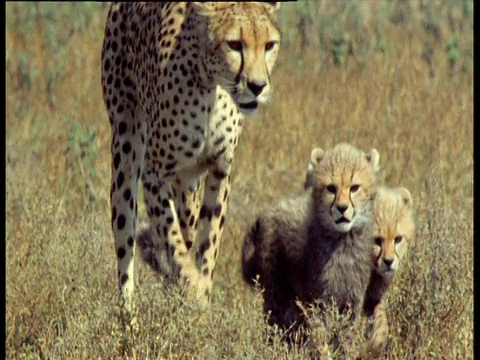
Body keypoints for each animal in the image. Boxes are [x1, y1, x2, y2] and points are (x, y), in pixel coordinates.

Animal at [101, 1, 282, 324]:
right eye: (234, 44)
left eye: (269, 45)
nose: (258, 86)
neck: (214, 89)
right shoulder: (154, 174)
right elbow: (172, 241)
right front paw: (193, 289)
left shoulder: (219, 170)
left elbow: (207, 243)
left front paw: (201, 296)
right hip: (125, 149)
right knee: (125, 246)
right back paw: (129, 321)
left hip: (187, 187)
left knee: (188, 226)